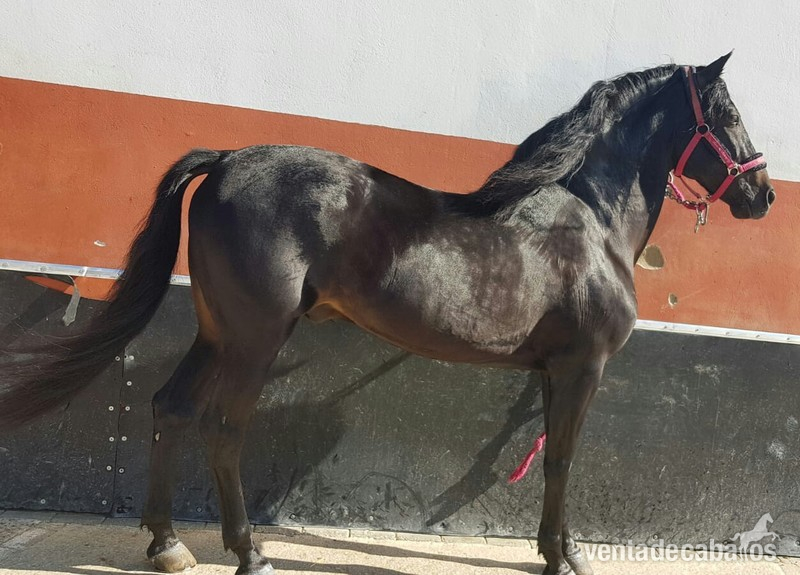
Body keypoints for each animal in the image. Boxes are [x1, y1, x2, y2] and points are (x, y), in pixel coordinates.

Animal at [0, 53, 774, 575]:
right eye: (731, 115)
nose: (763, 194)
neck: (587, 220)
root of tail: (227, 158)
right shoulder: (582, 367)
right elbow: (560, 457)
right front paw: (566, 556)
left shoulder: (554, 370)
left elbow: (550, 454)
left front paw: (553, 550)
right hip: (253, 338)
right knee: (222, 428)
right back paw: (249, 551)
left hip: (217, 333)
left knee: (171, 408)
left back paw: (166, 545)